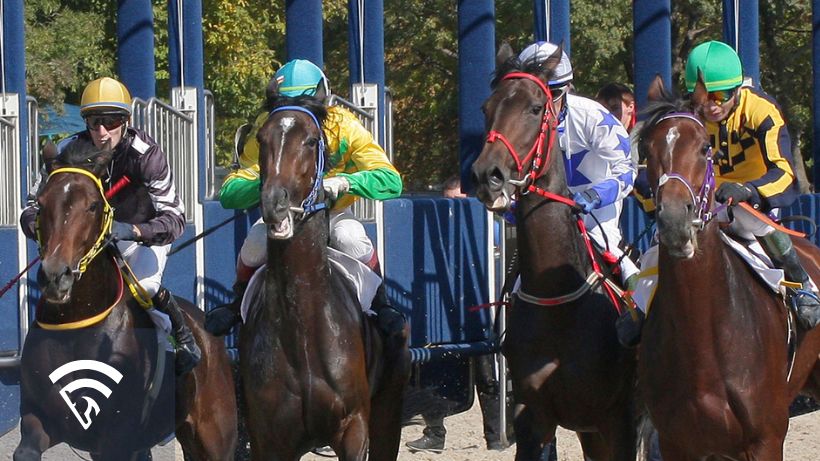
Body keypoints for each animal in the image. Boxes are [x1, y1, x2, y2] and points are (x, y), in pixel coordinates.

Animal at [14, 139, 237, 461]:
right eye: (41, 203)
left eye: (93, 205)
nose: (56, 276)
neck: (76, 321)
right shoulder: (37, 417)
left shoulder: (115, 439)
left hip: (213, 435)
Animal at [471, 43, 637, 461]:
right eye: (485, 107)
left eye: (534, 107)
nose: (487, 175)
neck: (558, 299)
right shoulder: (533, 417)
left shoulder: (621, 418)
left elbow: (622, 165)